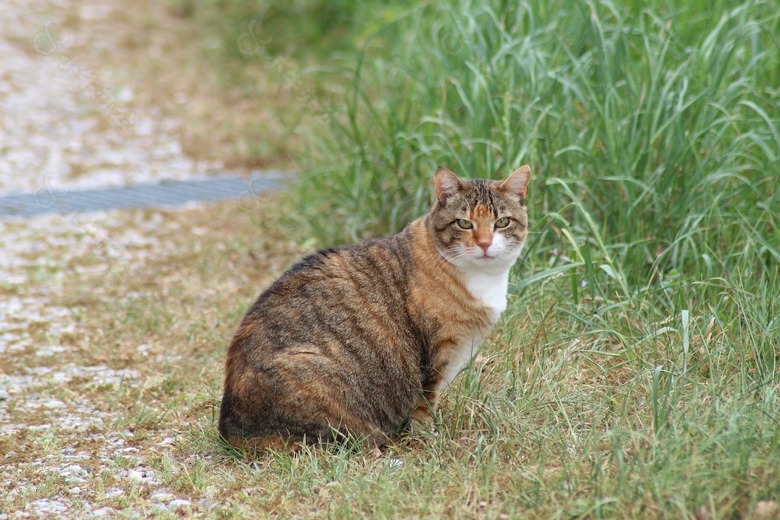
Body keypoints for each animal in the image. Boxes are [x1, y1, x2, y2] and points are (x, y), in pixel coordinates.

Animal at [218, 165, 532, 448]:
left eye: (502, 222)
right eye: (464, 223)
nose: (485, 243)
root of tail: (230, 428)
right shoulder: (435, 360)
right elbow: (423, 407)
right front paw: (428, 438)